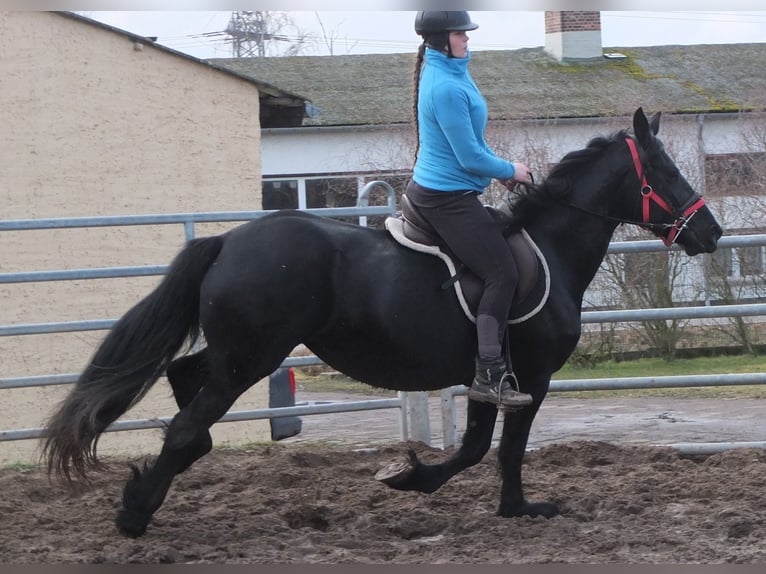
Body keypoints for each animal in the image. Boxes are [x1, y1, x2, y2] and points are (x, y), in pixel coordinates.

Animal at [43, 109, 728, 540]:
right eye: (666, 172)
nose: (712, 233)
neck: (550, 248)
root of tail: (228, 241)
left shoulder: (489, 374)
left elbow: (481, 445)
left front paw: (466, 494)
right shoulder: (529, 377)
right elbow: (498, 448)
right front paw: (466, 493)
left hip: (237, 353)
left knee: (187, 387)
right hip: (251, 357)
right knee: (189, 425)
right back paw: (135, 514)